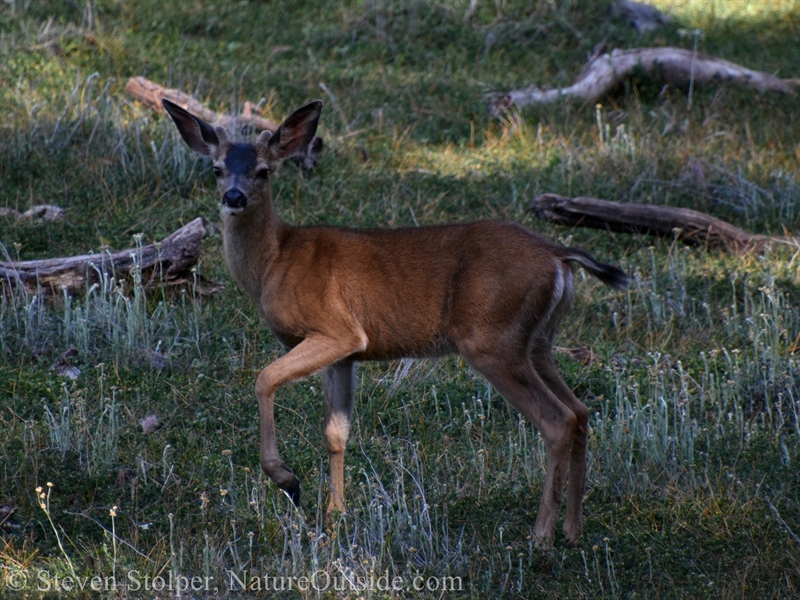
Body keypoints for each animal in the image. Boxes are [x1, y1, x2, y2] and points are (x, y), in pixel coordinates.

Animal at [162, 98, 632, 548]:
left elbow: (264, 379)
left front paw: (287, 480)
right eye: (216, 168)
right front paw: (336, 515)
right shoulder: (343, 355)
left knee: (557, 420)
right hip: (536, 341)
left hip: (493, 339)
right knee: (580, 411)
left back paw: (540, 535)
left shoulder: (337, 330)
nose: (234, 197)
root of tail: (558, 256)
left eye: (263, 170)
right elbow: (336, 432)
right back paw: (572, 530)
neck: (275, 262)